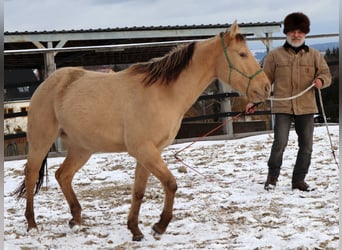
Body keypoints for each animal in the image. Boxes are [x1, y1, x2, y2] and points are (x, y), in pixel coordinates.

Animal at [14, 22, 272, 241]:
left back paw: (76, 219)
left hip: (82, 148)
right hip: (41, 141)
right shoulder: (145, 150)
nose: (266, 87)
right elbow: (170, 183)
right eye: (242, 54)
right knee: (31, 174)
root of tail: (49, 83)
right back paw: (32, 224)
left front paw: (135, 230)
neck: (164, 92)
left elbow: (138, 191)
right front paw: (159, 226)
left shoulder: (147, 153)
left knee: (63, 175)